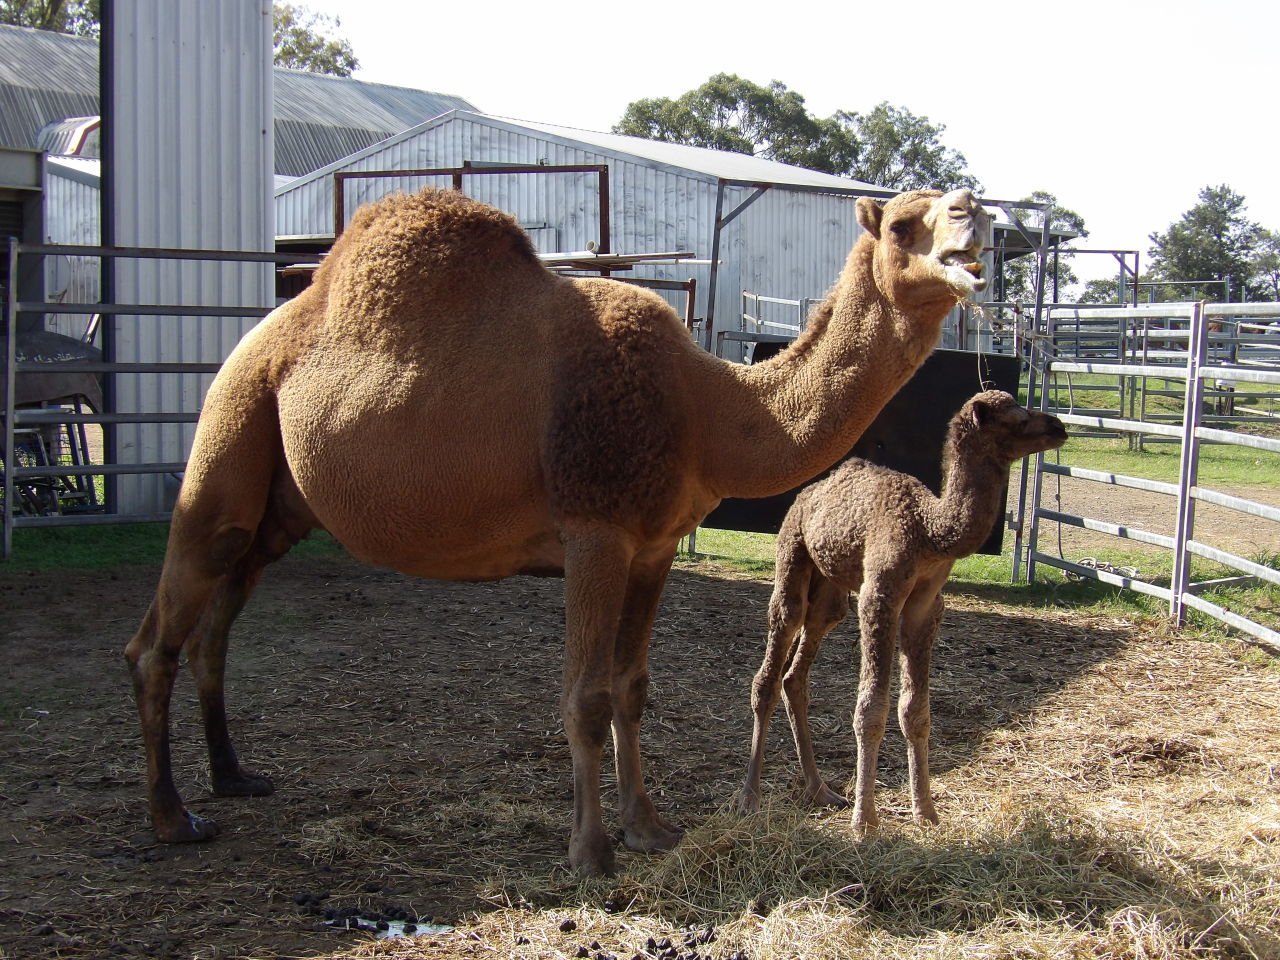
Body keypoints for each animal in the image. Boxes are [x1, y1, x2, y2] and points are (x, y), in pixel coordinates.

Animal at [124, 185, 991, 876]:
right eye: (903, 225)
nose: (973, 213)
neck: (706, 407)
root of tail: (258, 338)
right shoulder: (594, 531)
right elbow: (586, 696)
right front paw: (591, 851)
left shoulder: (653, 545)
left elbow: (634, 687)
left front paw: (648, 826)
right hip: (227, 441)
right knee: (155, 640)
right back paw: (173, 818)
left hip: (278, 507)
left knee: (213, 630)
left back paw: (235, 777)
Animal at [741, 390, 1067, 830]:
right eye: (1016, 418)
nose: (1058, 426)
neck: (930, 531)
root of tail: (807, 496)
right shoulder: (879, 597)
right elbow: (870, 710)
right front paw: (865, 821)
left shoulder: (925, 608)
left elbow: (915, 710)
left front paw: (926, 811)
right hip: (793, 556)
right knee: (770, 668)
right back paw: (751, 797)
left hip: (829, 596)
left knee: (796, 675)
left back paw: (821, 789)